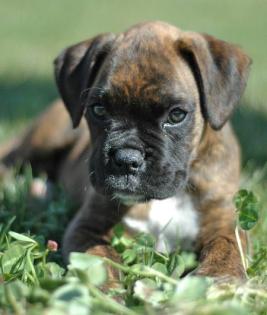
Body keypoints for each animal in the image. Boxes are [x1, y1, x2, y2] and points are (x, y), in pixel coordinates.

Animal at [0, 21, 251, 280]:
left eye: (176, 115)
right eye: (98, 110)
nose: (126, 159)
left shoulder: (224, 226)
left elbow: (225, 254)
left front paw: (215, 280)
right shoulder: (88, 227)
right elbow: (99, 262)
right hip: (45, 137)